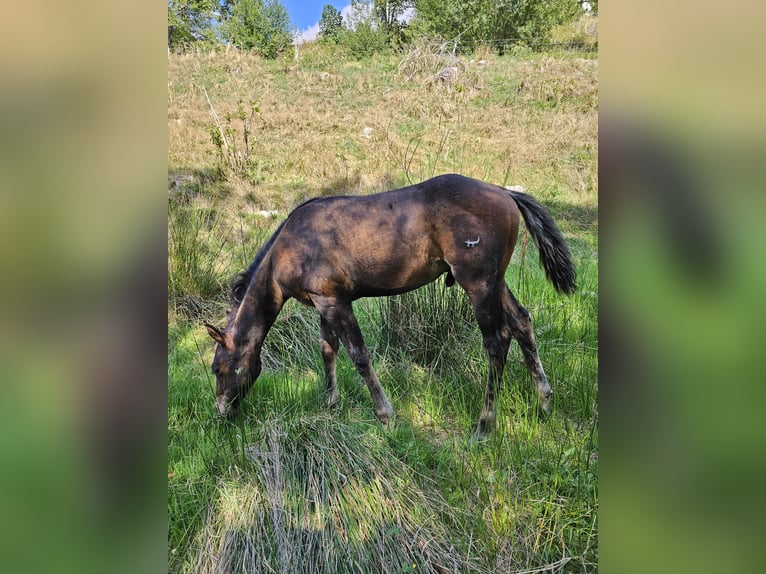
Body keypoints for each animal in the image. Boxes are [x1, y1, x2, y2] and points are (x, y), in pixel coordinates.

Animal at [205, 173, 576, 438]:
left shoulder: (335, 302)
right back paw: (543, 399)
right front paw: (331, 404)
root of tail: (503, 191)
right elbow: (328, 349)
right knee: (521, 323)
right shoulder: (324, 302)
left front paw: (386, 416)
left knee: (496, 343)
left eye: (219, 368)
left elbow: (358, 355)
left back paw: (484, 425)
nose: (222, 412)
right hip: (496, 281)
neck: (289, 248)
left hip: (479, 284)